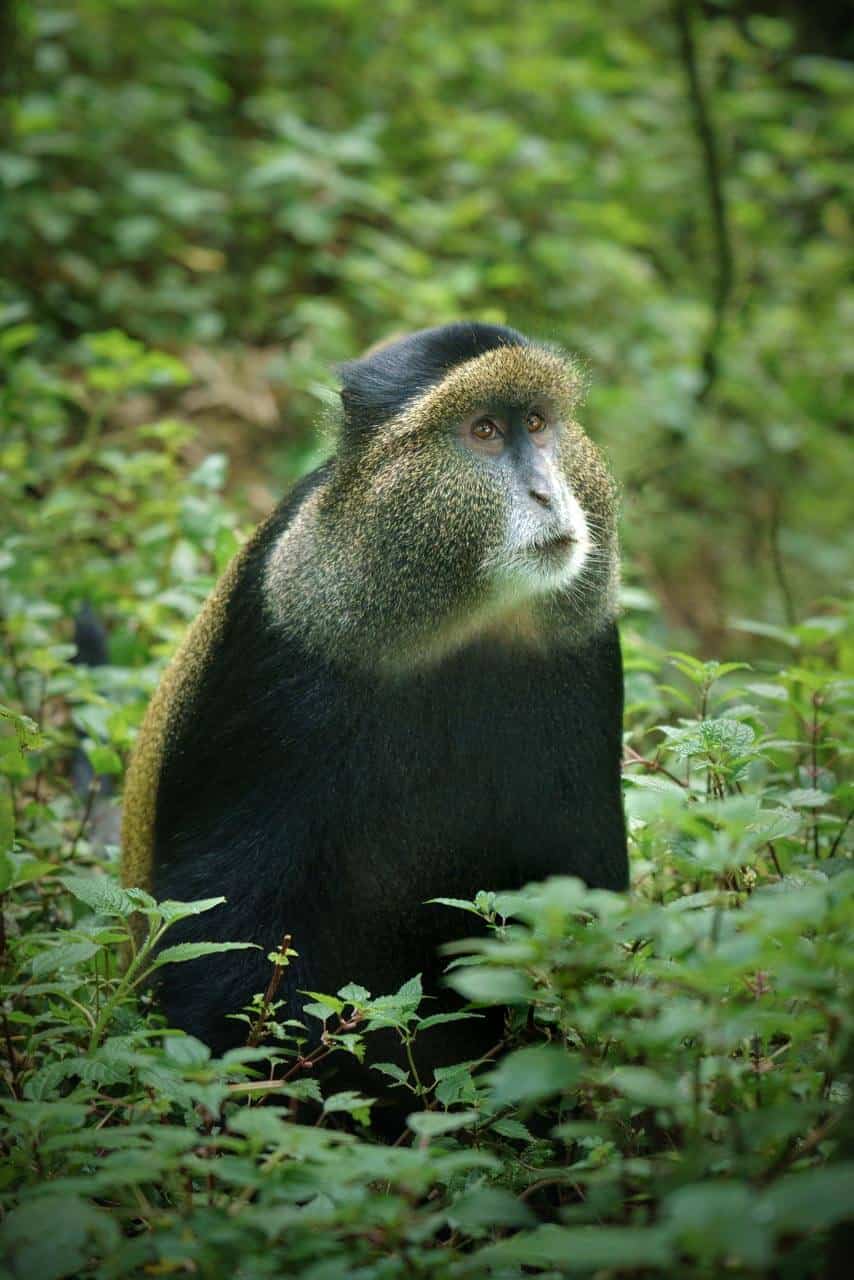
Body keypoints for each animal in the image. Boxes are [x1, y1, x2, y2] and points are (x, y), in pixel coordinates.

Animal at [121, 321, 628, 1079]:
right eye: (483, 430)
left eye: (537, 424)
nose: (546, 493)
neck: (462, 624)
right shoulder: (281, 639)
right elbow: (219, 915)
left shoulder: (588, 647)